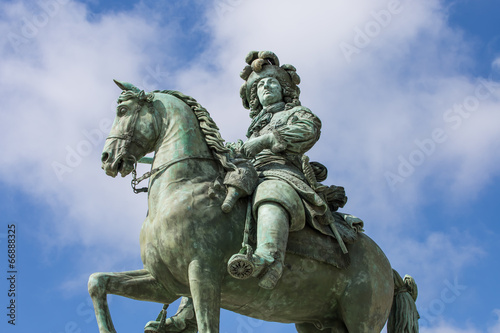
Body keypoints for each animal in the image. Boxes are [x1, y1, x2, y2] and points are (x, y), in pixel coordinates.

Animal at [89, 80, 418, 332]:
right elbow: (98, 281)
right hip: (319, 322)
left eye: (122, 110)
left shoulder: (203, 274)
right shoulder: (166, 282)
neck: (183, 187)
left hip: (361, 320)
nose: (107, 158)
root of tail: (387, 267)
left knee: (273, 196)